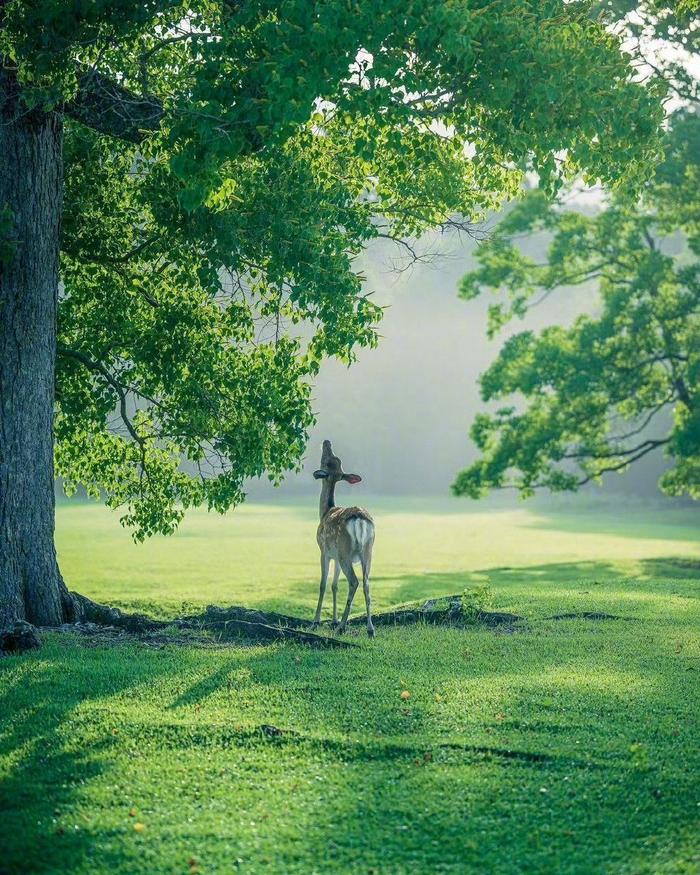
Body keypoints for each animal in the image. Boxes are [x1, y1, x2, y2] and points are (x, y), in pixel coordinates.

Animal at [312, 439, 376, 637]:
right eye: (334, 461)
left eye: (325, 461)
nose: (327, 441)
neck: (324, 512)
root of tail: (360, 519)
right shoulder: (335, 556)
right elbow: (334, 585)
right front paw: (333, 620)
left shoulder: (324, 551)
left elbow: (323, 584)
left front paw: (316, 621)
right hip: (367, 551)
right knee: (366, 583)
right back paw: (370, 629)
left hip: (345, 551)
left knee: (354, 581)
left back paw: (342, 627)